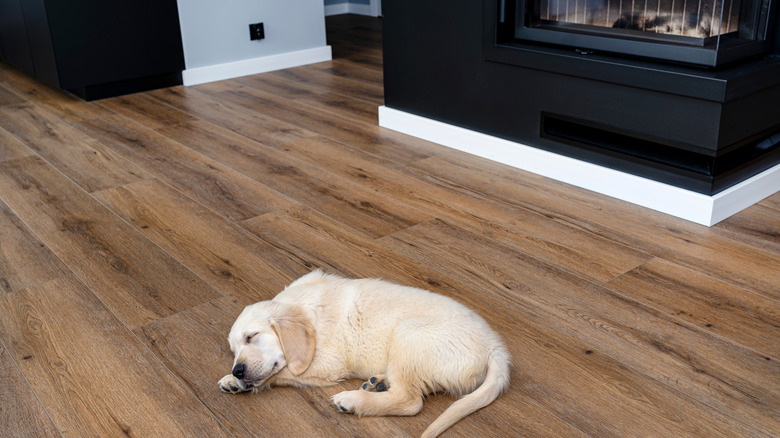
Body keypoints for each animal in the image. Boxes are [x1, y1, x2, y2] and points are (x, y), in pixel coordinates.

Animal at [219, 270, 512, 438]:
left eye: (252, 336)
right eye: (233, 350)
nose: (238, 370)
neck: (307, 310)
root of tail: (496, 349)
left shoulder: (327, 364)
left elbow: (281, 372)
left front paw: (237, 381)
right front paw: (234, 381)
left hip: (409, 333)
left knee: (410, 401)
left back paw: (354, 400)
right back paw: (377, 383)